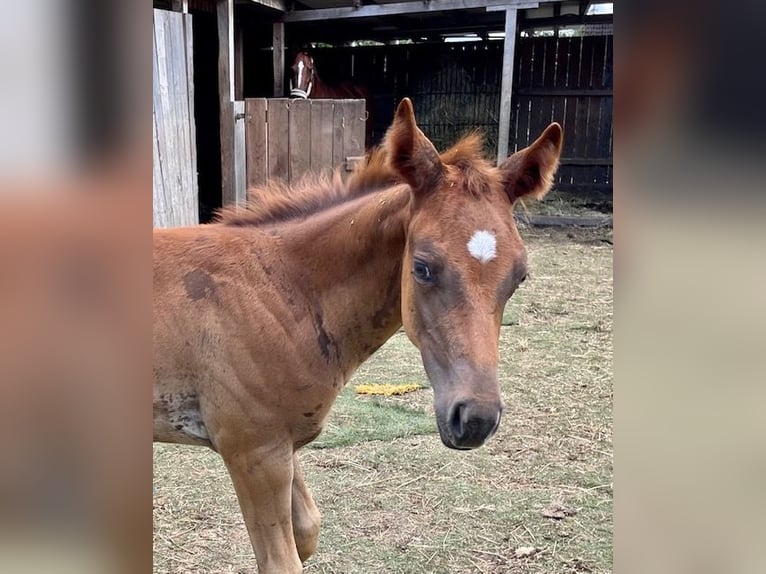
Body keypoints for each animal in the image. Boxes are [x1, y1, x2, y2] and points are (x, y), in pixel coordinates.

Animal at [154, 100, 564, 574]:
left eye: (520, 276)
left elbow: (308, 531)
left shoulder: (283, 445)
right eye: (422, 266)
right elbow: (282, 561)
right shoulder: (254, 451)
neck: (283, 289)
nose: (476, 418)